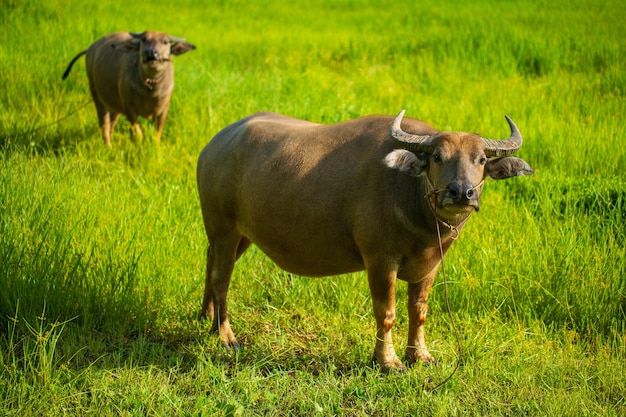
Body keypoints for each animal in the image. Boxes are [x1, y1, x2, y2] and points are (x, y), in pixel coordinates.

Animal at [62, 30, 195, 145]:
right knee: (104, 124)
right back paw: (108, 146)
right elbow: (138, 134)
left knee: (112, 123)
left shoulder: (163, 110)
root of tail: (90, 49)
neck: (150, 90)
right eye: (144, 39)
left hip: (115, 105)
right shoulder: (129, 108)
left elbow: (156, 136)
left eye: (165, 42)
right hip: (96, 94)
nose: (151, 52)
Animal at [195, 109, 532, 370]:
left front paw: (420, 356)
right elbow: (387, 313)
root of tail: (215, 144)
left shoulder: (432, 264)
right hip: (223, 226)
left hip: (240, 234)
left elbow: (419, 311)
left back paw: (206, 317)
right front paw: (388, 361)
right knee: (222, 277)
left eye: (480, 159)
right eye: (438, 156)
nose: (461, 192)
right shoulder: (380, 260)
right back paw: (225, 336)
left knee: (210, 262)